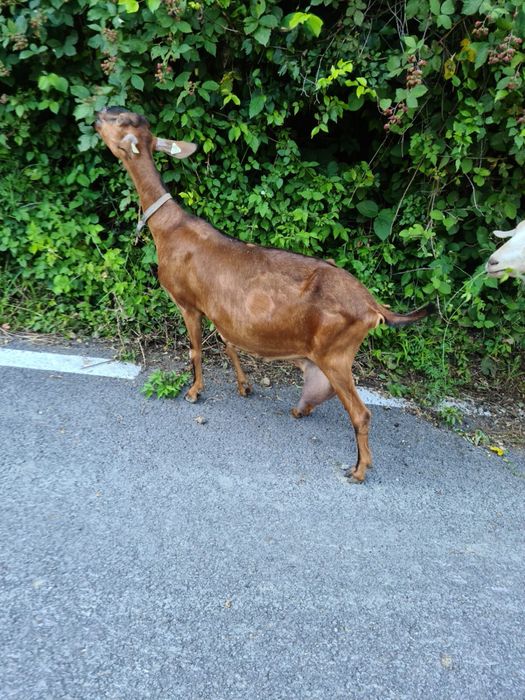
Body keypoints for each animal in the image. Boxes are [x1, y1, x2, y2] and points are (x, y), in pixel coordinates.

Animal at [95, 107, 431, 483]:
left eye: (119, 123)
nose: (97, 114)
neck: (169, 227)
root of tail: (373, 306)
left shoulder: (187, 303)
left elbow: (196, 349)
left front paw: (195, 392)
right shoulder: (219, 310)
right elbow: (227, 342)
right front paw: (244, 386)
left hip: (335, 354)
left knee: (360, 412)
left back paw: (359, 470)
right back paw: (310, 417)